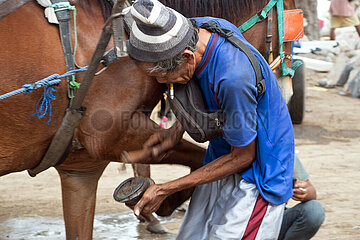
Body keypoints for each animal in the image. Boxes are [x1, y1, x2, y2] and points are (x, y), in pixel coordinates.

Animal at [0, 0, 296, 239]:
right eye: (295, 26)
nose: (288, 91)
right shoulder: (107, 139)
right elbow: (194, 157)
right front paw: (165, 200)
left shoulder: (80, 168)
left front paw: (159, 200)